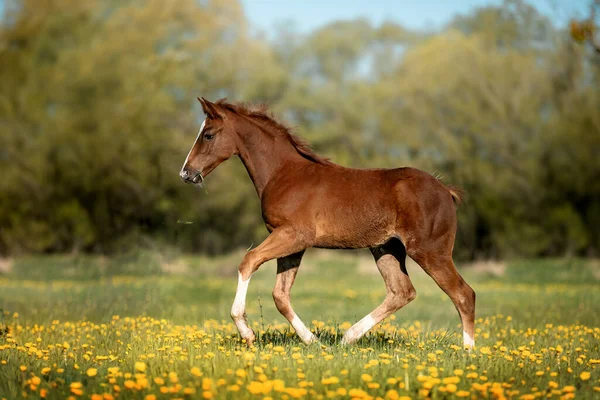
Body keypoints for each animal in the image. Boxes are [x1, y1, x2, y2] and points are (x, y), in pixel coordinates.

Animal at [180, 96, 476, 346]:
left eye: (208, 134)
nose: (187, 173)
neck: (284, 173)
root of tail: (445, 190)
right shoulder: (291, 243)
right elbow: (280, 295)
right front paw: (312, 340)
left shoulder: (294, 235)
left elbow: (248, 261)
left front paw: (247, 331)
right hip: (386, 248)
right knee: (402, 291)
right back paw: (348, 338)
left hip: (429, 250)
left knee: (463, 293)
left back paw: (467, 352)